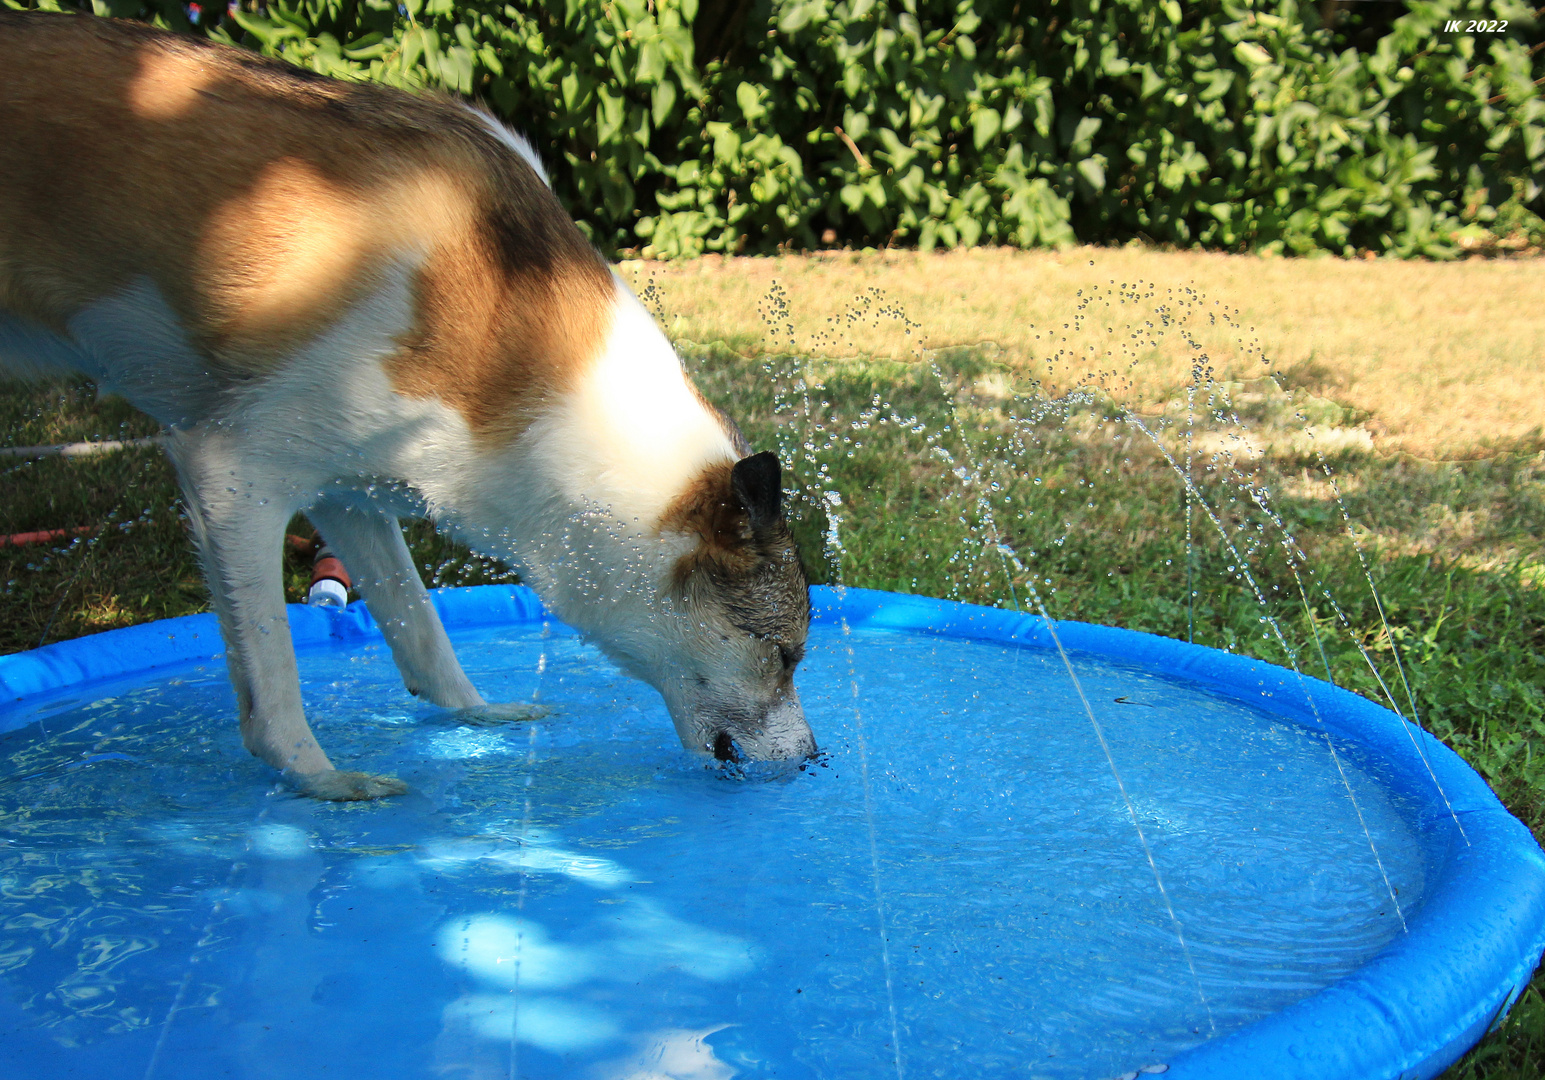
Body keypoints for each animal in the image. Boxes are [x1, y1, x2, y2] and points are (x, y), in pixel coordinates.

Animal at [0, 12, 821, 797]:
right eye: (784, 654)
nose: (815, 760)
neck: (502, 323)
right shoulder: (231, 474)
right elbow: (273, 677)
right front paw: (319, 781)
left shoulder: (347, 489)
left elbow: (418, 621)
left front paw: (477, 714)